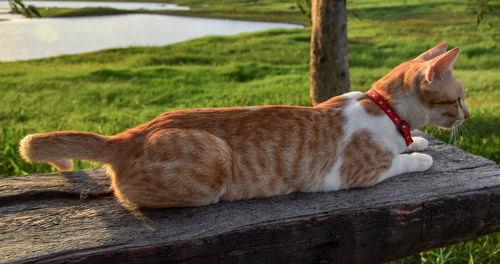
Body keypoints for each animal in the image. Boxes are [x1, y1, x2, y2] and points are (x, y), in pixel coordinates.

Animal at [19, 41, 468, 208]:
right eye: (461, 98)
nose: (468, 116)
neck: (385, 108)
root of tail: (129, 136)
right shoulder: (351, 174)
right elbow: (401, 162)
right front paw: (421, 156)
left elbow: (409, 143)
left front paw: (418, 140)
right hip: (212, 161)